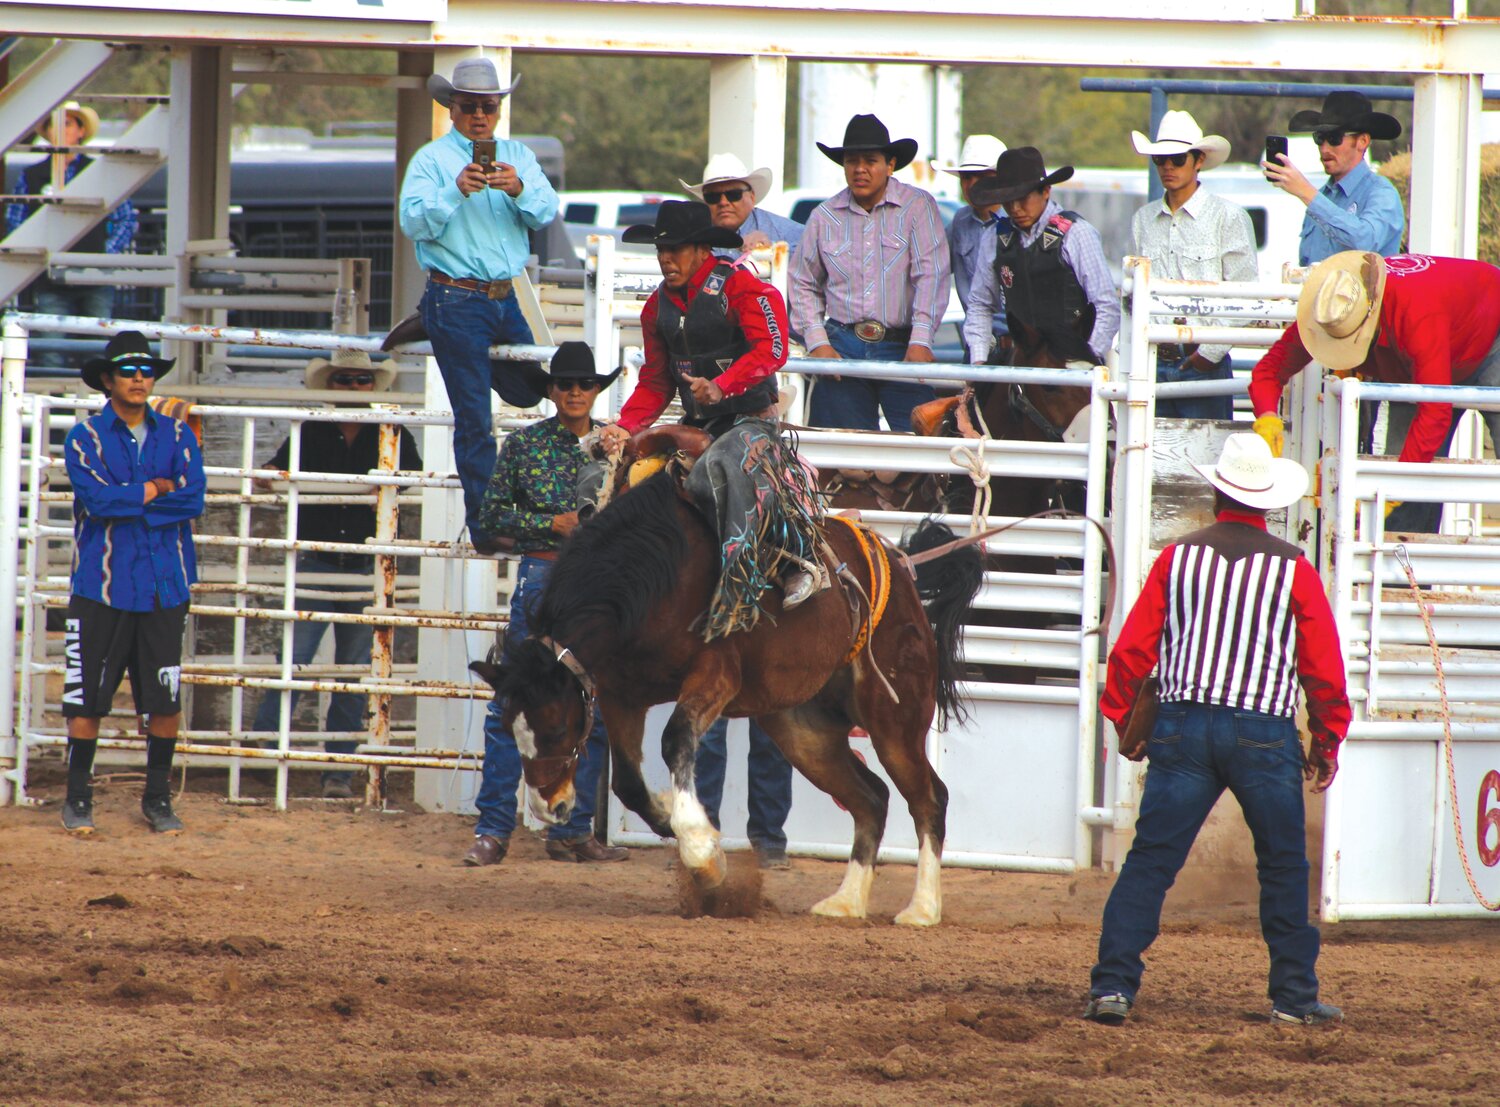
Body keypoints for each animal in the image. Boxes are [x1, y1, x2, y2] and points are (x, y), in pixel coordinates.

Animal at [471, 465, 984, 924]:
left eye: (557, 726)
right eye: (507, 726)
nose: (549, 807)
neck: (654, 579)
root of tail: (899, 569)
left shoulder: (715, 675)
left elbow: (675, 739)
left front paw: (702, 851)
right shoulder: (622, 696)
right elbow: (629, 784)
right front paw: (673, 822)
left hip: (894, 719)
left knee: (928, 798)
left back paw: (922, 908)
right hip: (805, 733)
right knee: (871, 798)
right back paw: (846, 902)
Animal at [594, 198, 822, 639]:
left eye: (675, 249)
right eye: (661, 250)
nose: (664, 260)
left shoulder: (749, 291)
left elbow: (768, 345)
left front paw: (710, 388)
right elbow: (655, 378)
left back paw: (802, 579)